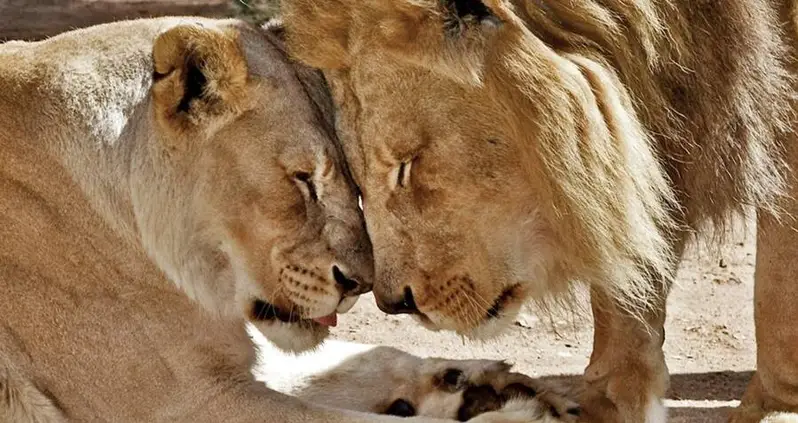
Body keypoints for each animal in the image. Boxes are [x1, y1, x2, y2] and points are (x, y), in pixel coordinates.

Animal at [0, 16, 575, 423]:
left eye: (353, 179)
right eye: (303, 179)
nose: (360, 286)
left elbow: (355, 355)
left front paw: (470, 383)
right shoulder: (187, 402)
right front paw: (513, 414)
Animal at [280, 0, 798, 422]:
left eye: (406, 166)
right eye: (358, 175)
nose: (394, 303)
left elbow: (778, 291)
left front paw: (773, 410)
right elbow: (624, 273)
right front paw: (602, 405)